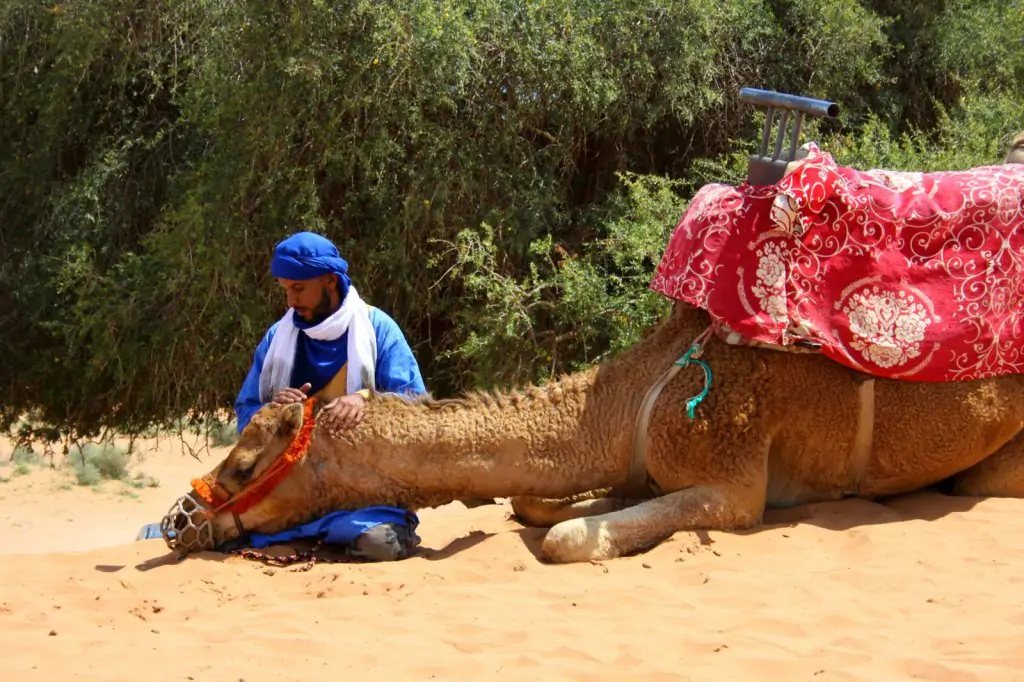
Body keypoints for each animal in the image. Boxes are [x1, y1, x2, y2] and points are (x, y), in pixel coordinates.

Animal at [167, 294, 1024, 561]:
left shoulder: (734, 481)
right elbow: (538, 505)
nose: (180, 522)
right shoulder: (638, 465)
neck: (636, 399)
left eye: (243, 466)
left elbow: (562, 538)